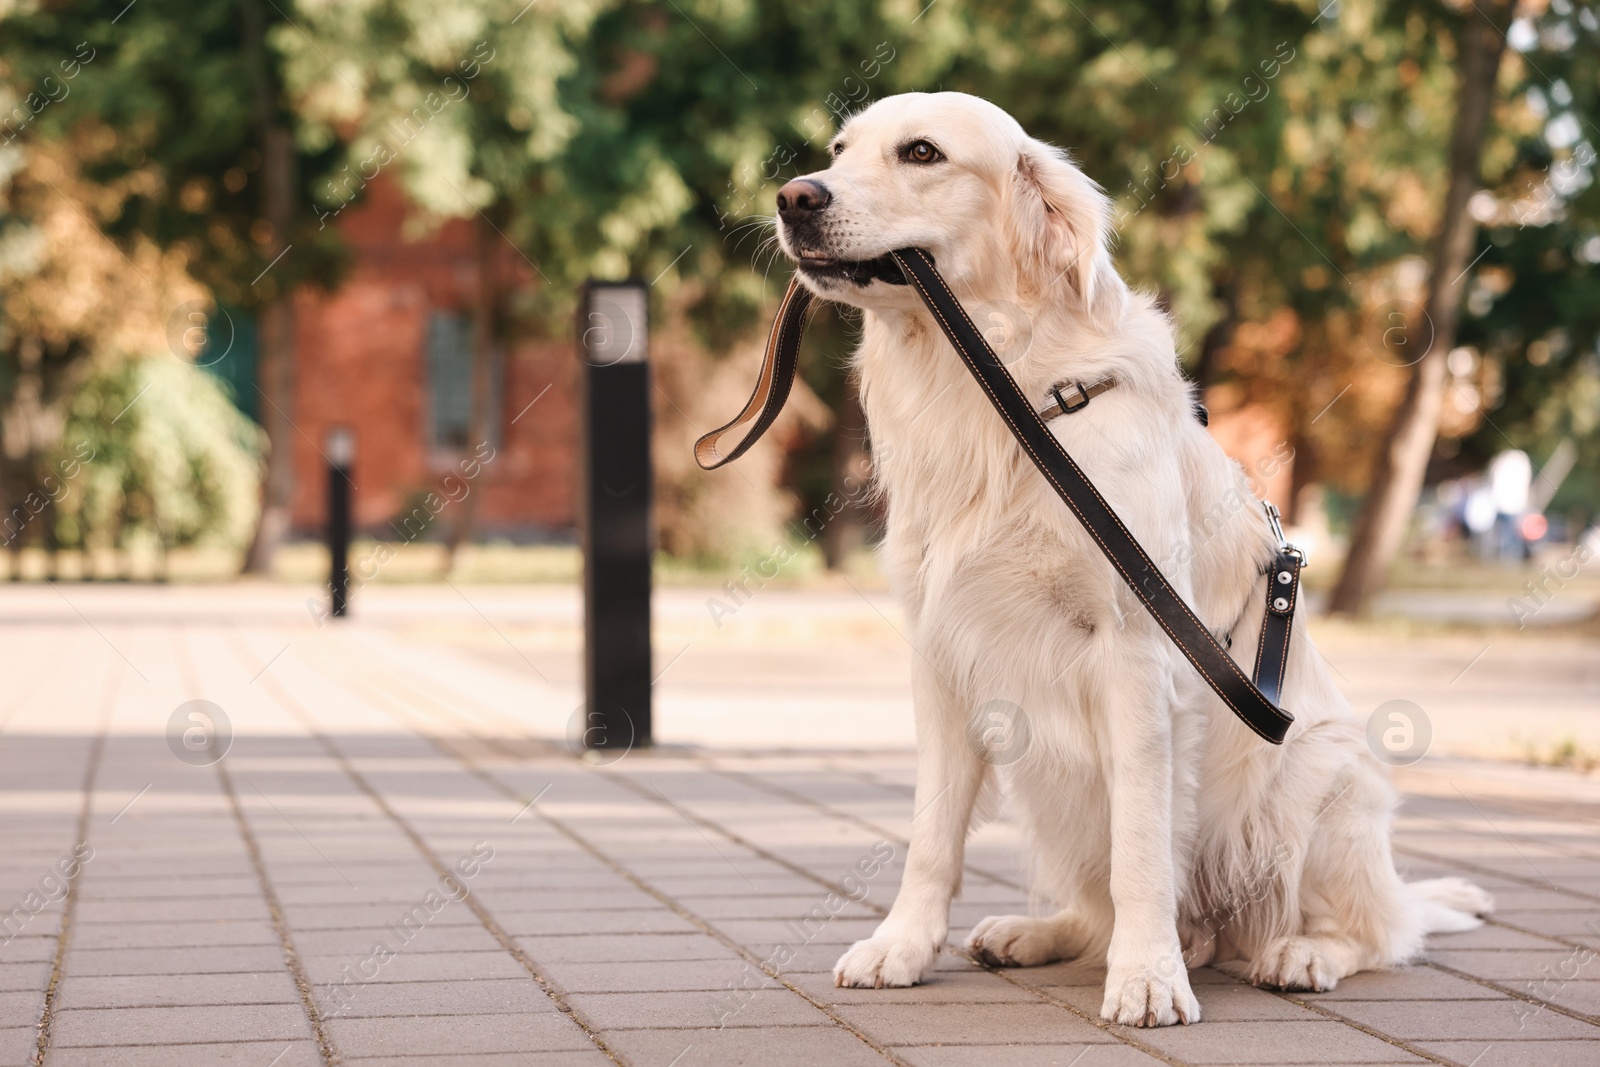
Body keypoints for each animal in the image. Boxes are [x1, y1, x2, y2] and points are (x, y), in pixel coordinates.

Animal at [768, 91, 1491, 1023]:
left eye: (921, 153)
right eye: (838, 148)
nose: (794, 198)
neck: (1005, 398)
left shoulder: (1137, 651)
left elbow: (1143, 842)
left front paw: (1147, 977)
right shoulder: (942, 654)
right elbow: (931, 834)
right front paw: (901, 945)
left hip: (1317, 777)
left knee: (1380, 932)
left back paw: (1300, 952)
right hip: (1044, 776)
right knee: (1102, 908)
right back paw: (1032, 931)